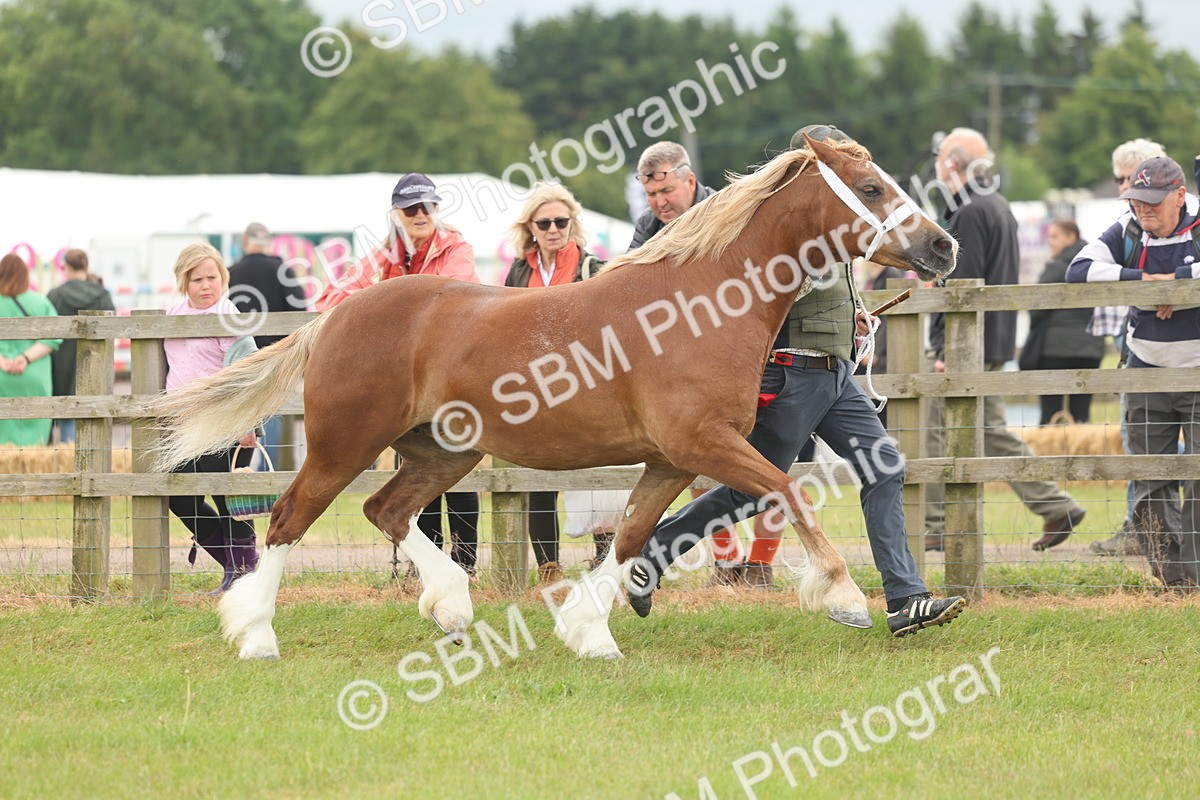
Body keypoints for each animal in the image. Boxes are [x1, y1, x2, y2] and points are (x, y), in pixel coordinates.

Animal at [149, 135, 957, 660]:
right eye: (874, 189)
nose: (943, 246)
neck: (700, 303)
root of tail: (337, 316)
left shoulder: (671, 460)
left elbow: (629, 538)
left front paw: (588, 632)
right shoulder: (706, 445)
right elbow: (787, 490)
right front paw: (846, 598)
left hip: (444, 453)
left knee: (386, 511)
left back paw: (451, 607)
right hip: (345, 443)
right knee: (289, 519)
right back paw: (255, 635)